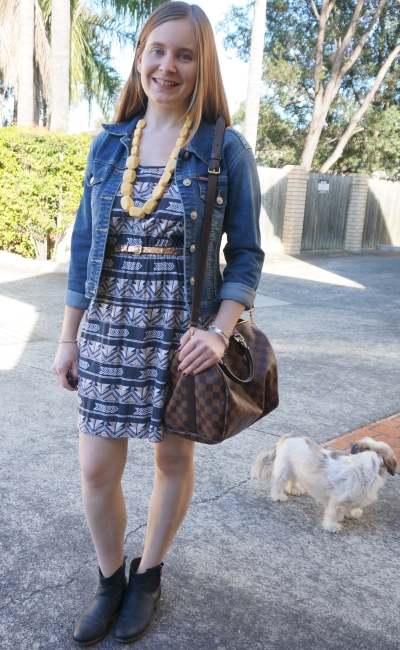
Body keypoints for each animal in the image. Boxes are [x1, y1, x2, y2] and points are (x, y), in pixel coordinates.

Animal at [252, 436, 396, 532]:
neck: (365, 466)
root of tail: (287, 437)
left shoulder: (352, 498)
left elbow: (350, 507)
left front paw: (352, 513)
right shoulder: (339, 501)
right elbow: (333, 514)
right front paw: (332, 526)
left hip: (295, 469)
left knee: (293, 479)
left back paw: (294, 489)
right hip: (285, 469)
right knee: (278, 482)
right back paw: (278, 496)